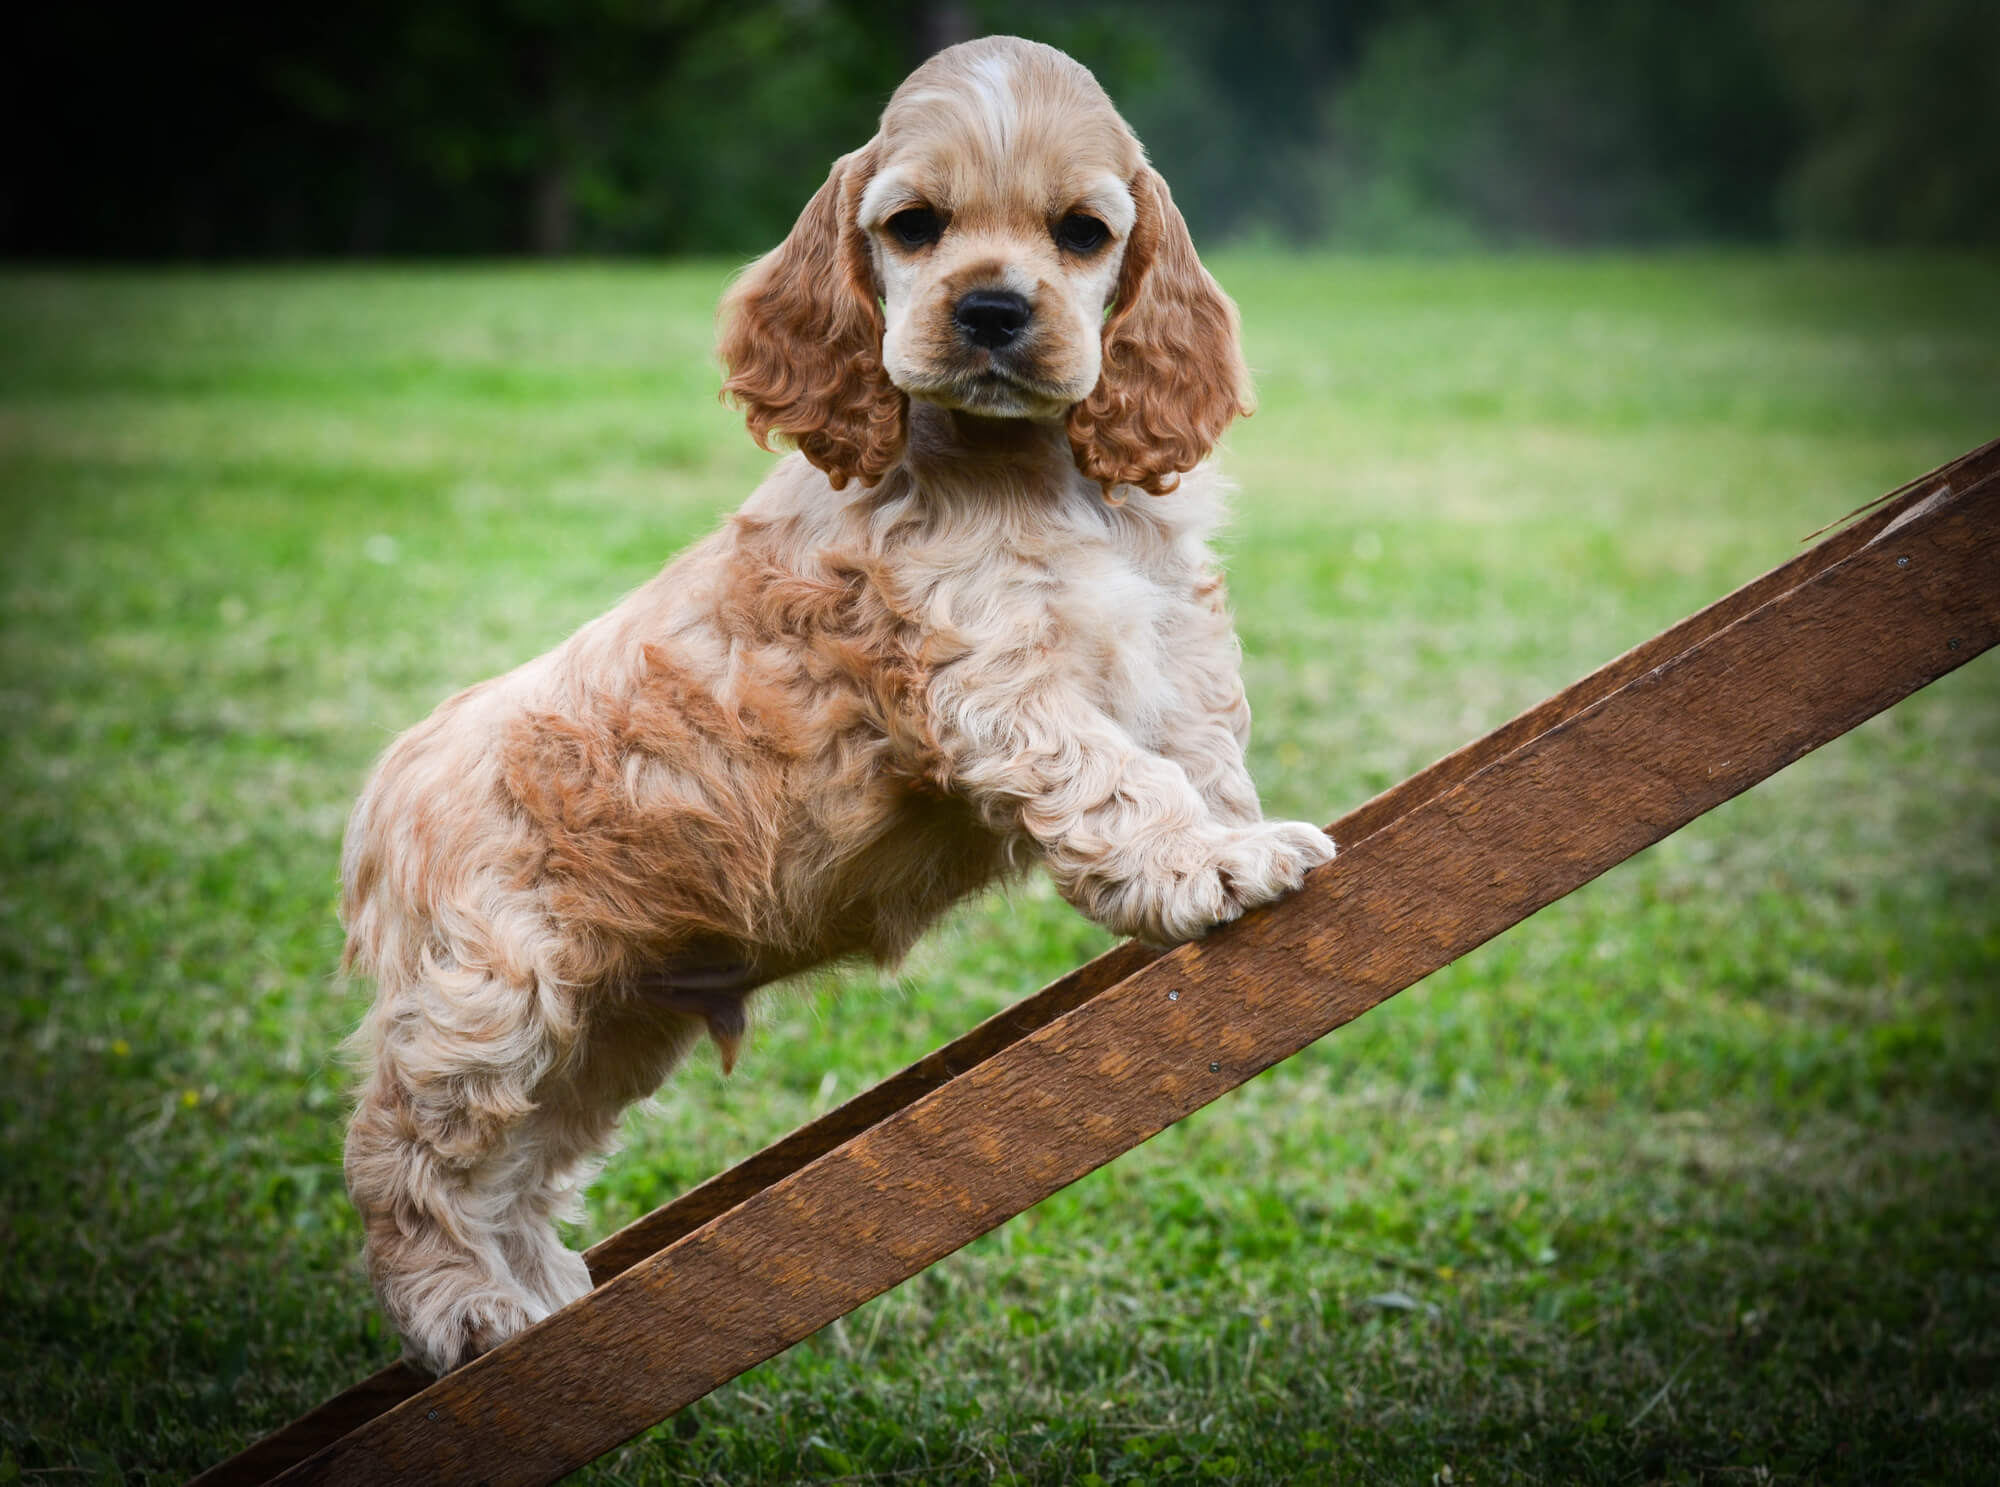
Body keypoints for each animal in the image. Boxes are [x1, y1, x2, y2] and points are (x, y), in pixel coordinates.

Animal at [342, 34, 1336, 1375]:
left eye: (1080, 234)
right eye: (914, 227)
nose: (989, 309)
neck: (1032, 472)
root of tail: (391, 782)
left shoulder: (1170, 641)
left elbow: (1199, 758)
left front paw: (1235, 833)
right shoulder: (993, 682)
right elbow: (1122, 780)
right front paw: (1205, 865)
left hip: (608, 1024)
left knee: (517, 1165)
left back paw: (538, 1290)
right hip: (488, 1002)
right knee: (409, 1157)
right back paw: (461, 1305)